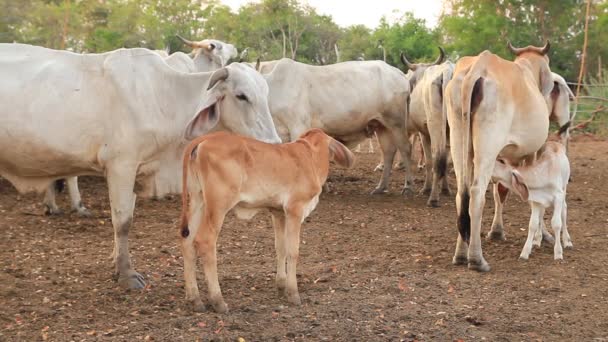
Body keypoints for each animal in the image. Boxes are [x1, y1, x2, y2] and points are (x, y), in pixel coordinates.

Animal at [0, 43, 280, 288]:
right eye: (241, 96)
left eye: (267, 94)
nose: (274, 144)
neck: (163, 96)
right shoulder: (121, 165)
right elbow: (122, 221)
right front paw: (127, 274)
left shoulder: (135, 169)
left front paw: (115, 263)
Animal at [178, 127, 354, 312]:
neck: (310, 157)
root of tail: (205, 138)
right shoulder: (294, 209)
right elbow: (293, 250)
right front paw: (293, 293)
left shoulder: (278, 212)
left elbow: (280, 248)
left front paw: (281, 286)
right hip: (218, 205)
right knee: (205, 241)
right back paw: (218, 300)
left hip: (198, 200)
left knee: (187, 241)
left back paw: (195, 299)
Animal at [262, 57, 414, 194]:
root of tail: (399, 73)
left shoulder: (298, 126)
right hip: (381, 125)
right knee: (388, 151)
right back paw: (380, 187)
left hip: (397, 122)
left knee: (405, 148)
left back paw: (408, 186)